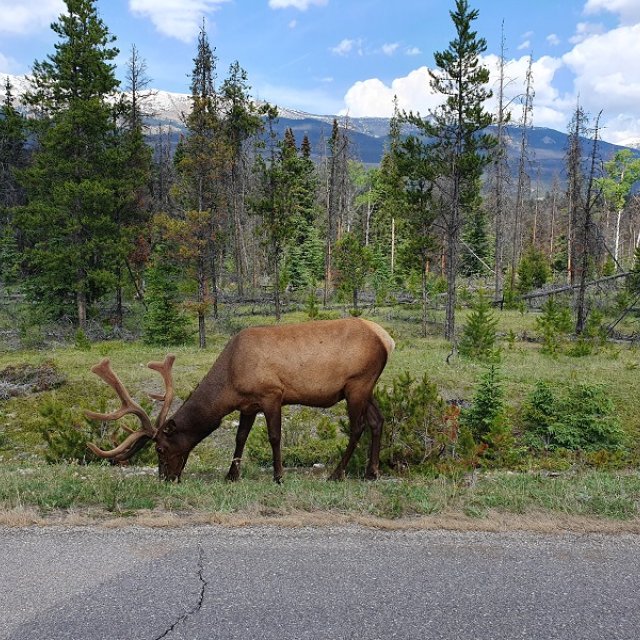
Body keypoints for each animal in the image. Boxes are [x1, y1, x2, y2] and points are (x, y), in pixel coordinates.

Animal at [85, 318, 396, 482]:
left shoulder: (272, 394)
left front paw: (278, 476)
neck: (230, 382)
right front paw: (231, 474)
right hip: (364, 388)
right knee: (378, 420)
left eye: (160, 448)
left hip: (357, 384)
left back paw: (337, 473)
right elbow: (240, 437)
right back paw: (371, 471)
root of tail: (386, 338)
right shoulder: (248, 405)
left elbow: (274, 436)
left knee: (358, 427)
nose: (165, 478)